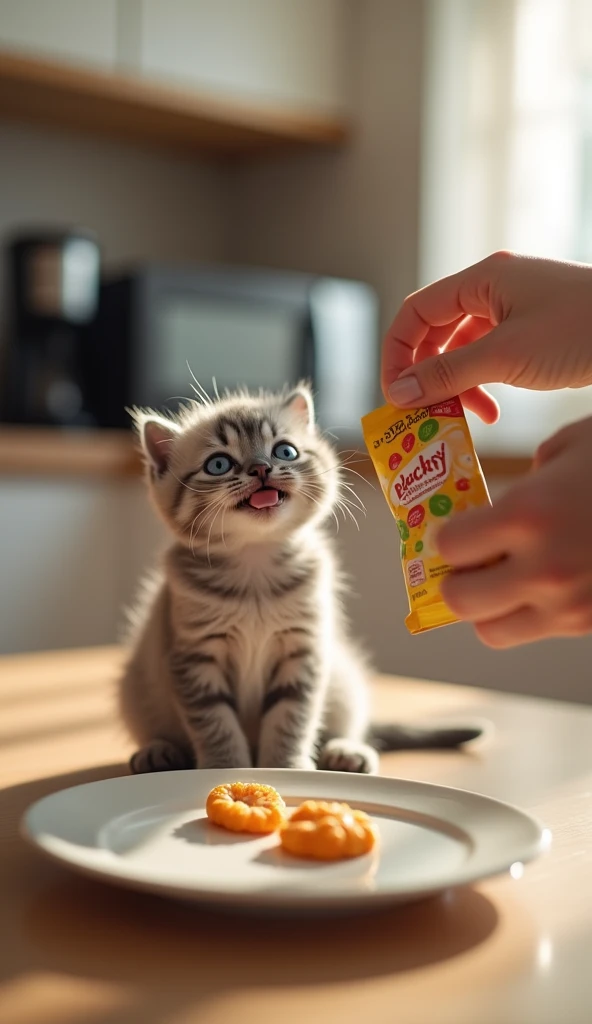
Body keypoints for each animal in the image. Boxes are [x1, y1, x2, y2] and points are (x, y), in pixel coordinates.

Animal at [119, 385, 479, 774]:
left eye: (285, 451)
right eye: (218, 464)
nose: (261, 468)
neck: (255, 563)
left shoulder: (303, 651)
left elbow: (292, 718)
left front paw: (285, 766)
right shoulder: (193, 657)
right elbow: (215, 723)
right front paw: (225, 767)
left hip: (344, 680)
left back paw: (347, 751)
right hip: (136, 688)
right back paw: (158, 751)